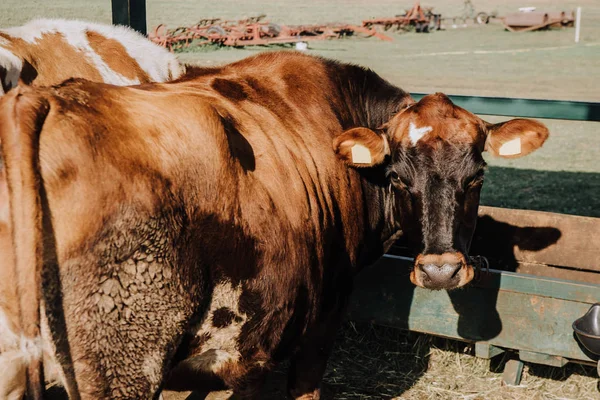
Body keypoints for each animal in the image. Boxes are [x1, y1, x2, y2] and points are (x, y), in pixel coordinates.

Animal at [0, 51, 548, 398]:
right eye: (397, 177)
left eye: (476, 176)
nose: (440, 270)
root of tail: (42, 99)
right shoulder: (298, 332)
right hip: (125, 365)